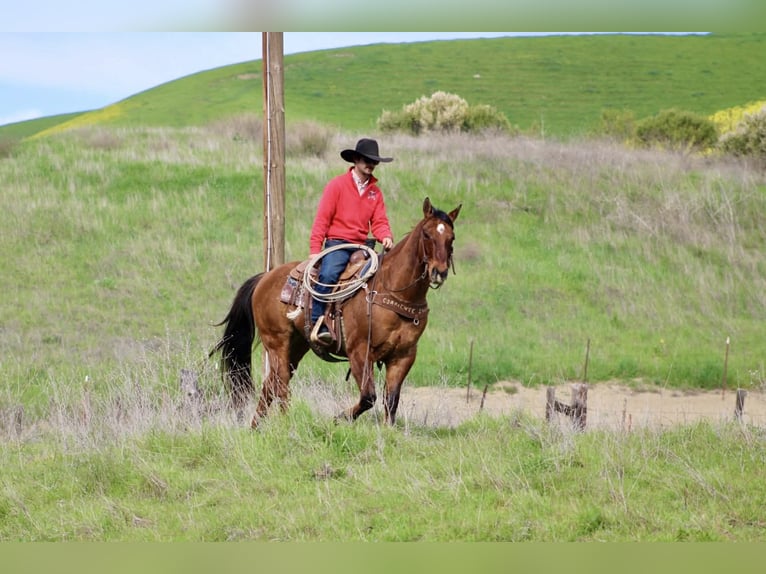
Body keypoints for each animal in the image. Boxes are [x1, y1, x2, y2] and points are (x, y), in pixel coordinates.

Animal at [210, 197, 461, 427]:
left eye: (451, 238)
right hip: (276, 341)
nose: (439, 272)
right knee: (280, 384)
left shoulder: (404, 356)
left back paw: (256, 428)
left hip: (297, 345)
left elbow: (391, 400)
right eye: (427, 234)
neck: (392, 290)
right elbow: (368, 396)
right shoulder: (359, 351)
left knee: (270, 385)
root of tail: (265, 277)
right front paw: (338, 418)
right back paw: (286, 423)